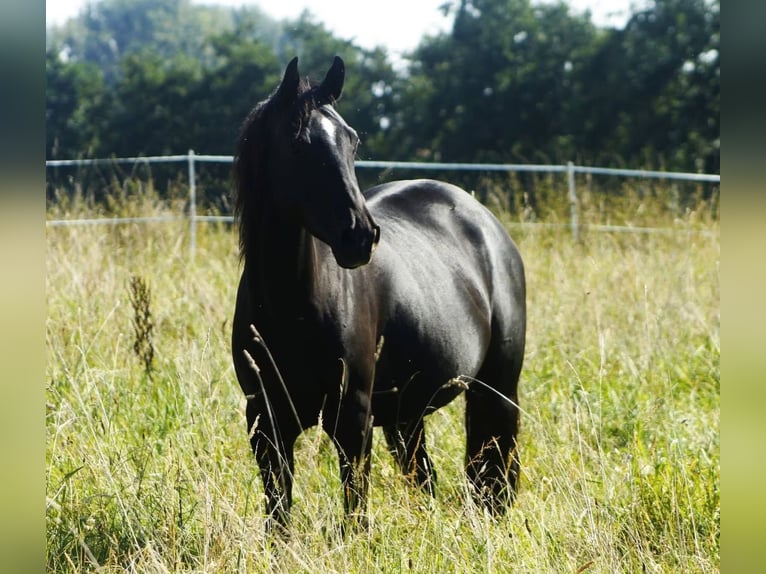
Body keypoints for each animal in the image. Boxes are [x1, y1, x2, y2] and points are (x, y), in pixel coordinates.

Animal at [231, 56, 526, 533]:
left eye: (352, 141)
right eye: (297, 143)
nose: (361, 236)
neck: (291, 306)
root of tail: (483, 219)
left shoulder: (353, 420)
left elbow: (355, 513)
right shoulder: (265, 422)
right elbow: (278, 516)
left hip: (497, 387)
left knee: (494, 472)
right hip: (408, 413)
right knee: (428, 477)